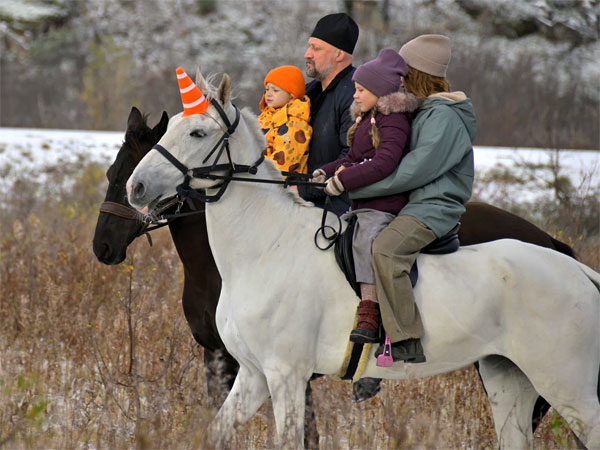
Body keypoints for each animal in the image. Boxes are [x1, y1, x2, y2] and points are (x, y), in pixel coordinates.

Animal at [127, 71, 600, 450]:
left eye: (197, 134)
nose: (136, 186)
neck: (265, 248)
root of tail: (576, 270)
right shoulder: (253, 375)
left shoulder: (286, 376)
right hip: (508, 379)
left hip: (566, 386)